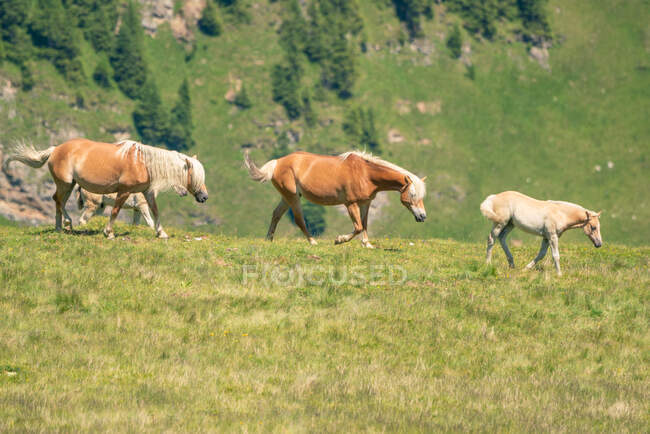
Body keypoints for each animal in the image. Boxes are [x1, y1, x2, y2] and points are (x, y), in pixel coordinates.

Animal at [3, 139, 208, 239]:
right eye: (195, 176)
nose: (204, 197)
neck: (143, 163)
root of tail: (55, 149)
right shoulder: (124, 191)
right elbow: (116, 211)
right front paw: (108, 233)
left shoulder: (147, 193)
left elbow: (155, 212)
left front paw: (161, 233)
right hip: (65, 183)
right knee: (59, 201)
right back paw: (67, 224)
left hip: (69, 185)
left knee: (58, 201)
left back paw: (60, 227)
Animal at [244, 149, 426, 248]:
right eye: (413, 194)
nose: (423, 216)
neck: (365, 173)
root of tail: (277, 162)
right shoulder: (350, 203)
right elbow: (358, 227)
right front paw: (339, 240)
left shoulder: (365, 203)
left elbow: (365, 224)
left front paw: (367, 244)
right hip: (293, 197)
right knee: (299, 219)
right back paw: (312, 242)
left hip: (287, 197)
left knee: (276, 214)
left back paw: (269, 238)